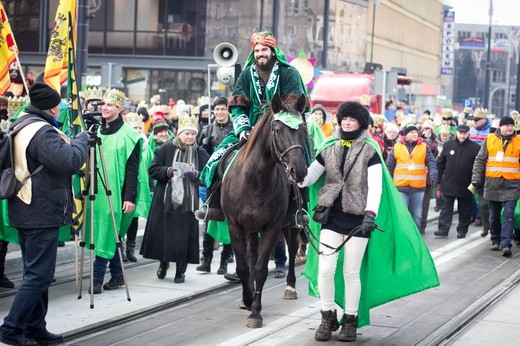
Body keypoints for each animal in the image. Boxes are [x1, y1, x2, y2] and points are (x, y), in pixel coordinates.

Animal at [220, 93, 308, 328]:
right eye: (278, 130)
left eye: (302, 129)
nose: (299, 171)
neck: (254, 180)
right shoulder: (235, 226)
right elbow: (244, 267)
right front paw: (247, 299)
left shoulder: (272, 227)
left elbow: (260, 269)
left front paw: (255, 313)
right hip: (251, 229)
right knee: (251, 255)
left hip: (291, 224)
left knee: (292, 248)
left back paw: (290, 287)